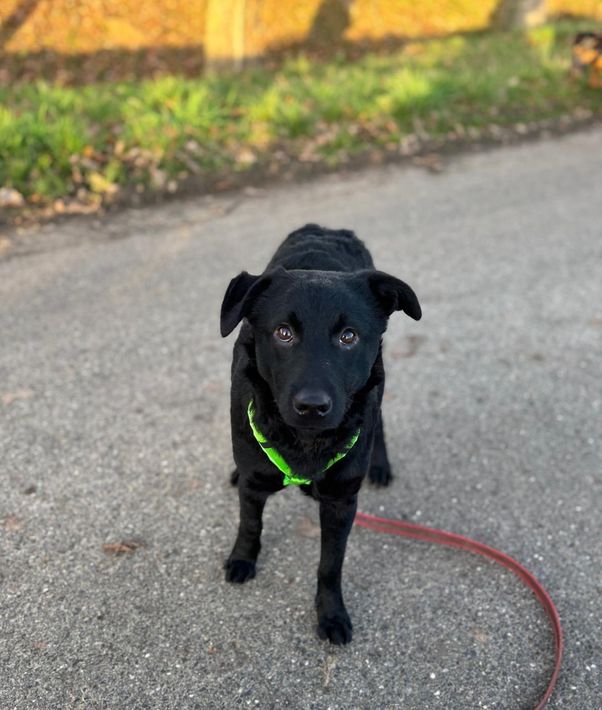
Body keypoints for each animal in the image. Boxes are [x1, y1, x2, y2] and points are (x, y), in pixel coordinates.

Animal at [220, 224, 421, 644]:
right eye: (283, 333)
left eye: (348, 336)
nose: (312, 405)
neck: (305, 441)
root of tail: (327, 230)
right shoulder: (254, 480)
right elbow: (250, 522)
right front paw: (243, 558)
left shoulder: (341, 502)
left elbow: (330, 564)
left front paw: (331, 614)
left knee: (381, 421)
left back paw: (380, 466)